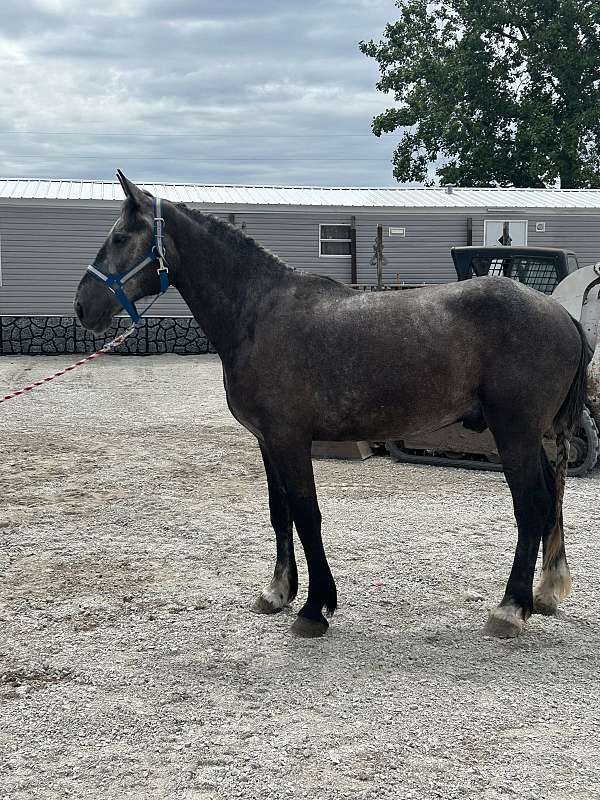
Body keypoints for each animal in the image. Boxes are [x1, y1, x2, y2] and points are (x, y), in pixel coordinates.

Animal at [72, 172, 588, 640]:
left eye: (120, 237)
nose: (82, 307)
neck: (258, 315)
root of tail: (562, 314)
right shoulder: (268, 442)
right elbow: (280, 512)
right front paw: (279, 592)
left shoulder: (291, 439)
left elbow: (307, 515)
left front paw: (314, 608)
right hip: (530, 436)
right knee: (549, 499)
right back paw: (543, 593)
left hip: (514, 432)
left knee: (531, 504)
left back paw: (510, 609)